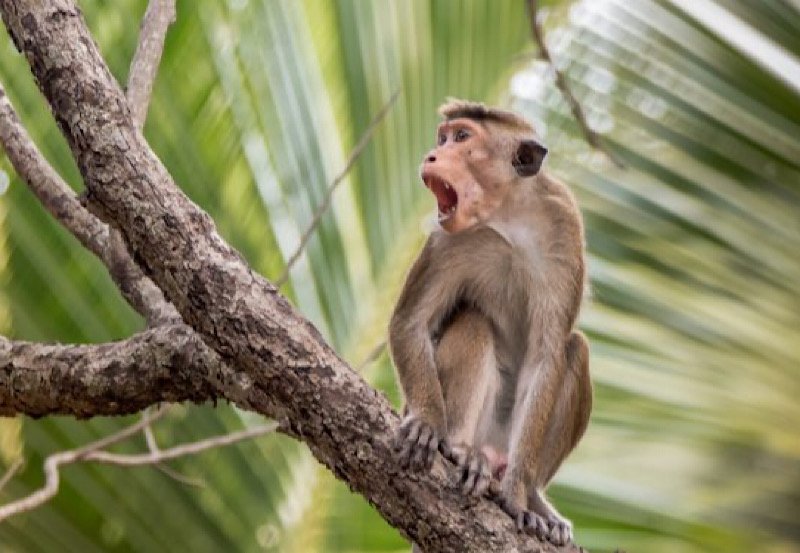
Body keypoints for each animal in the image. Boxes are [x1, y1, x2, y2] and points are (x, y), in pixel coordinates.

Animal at [389, 99, 591, 548]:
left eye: (462, 138)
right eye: (442, 137)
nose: (432, 155)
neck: (507, 218)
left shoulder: (564, 226)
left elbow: (546, 358)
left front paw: (517, 497)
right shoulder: (447, 238)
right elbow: (411, 323)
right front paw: (427, 422)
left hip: (506, 440)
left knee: (575, 348)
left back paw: (532, 496)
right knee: (473, 321)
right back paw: (460, 450)